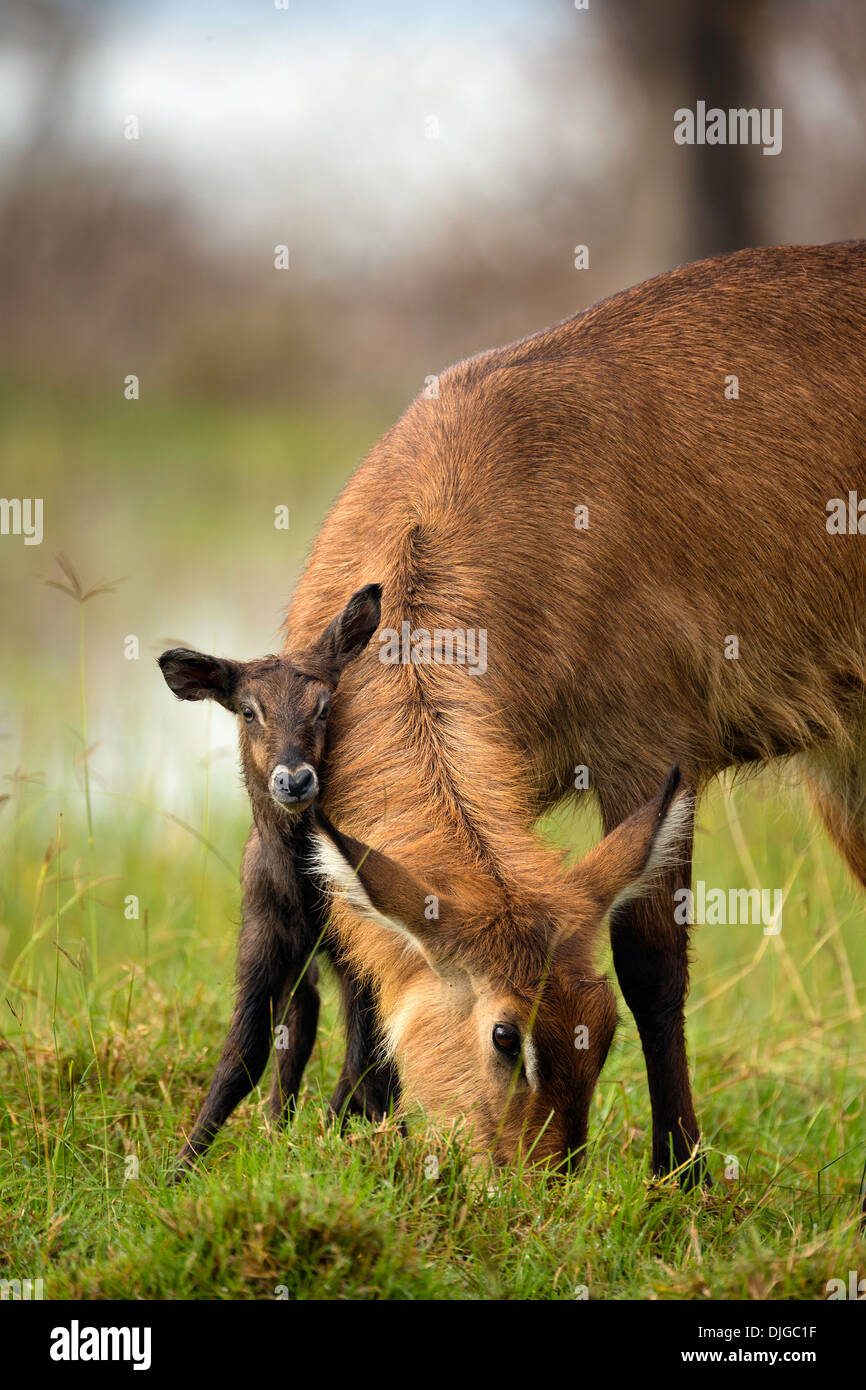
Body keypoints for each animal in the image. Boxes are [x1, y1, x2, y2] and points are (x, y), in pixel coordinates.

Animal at [159, 581, 400, 1167]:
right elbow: (243, 1055)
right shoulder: (264, 938)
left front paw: (331, 1141)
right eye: (249, 711)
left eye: (323, 705)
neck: (300, 892)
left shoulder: (357, 949)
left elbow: (361, 1058)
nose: (294, 779)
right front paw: (179, 1168)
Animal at [278, 244, 866, 1178]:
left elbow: (654, 965)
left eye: (601, 1028)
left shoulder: (649, 754)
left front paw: (680, 1171)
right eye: (505, 1034)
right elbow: (357, 955)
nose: (541, 1181)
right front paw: (358, 1123)